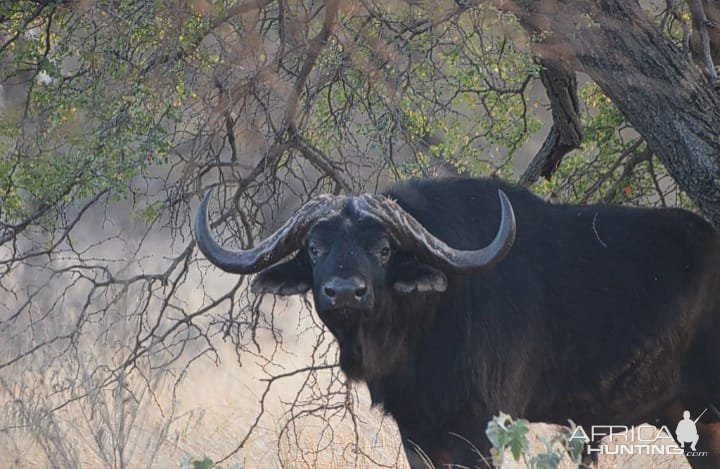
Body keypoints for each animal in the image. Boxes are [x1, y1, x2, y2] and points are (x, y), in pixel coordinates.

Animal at [193, 177, 720, 466]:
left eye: (383, 250)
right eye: (315, 249)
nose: (344, 292)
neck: (419, 332)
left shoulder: (477, 430)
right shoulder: (416, 436)